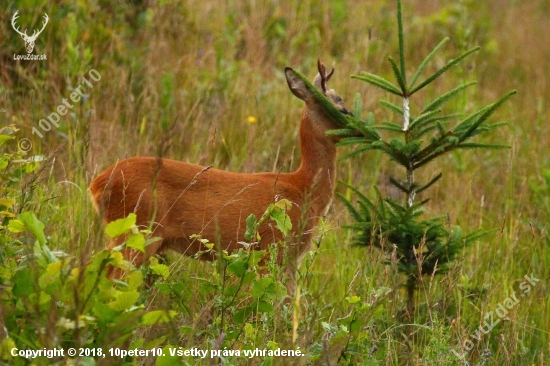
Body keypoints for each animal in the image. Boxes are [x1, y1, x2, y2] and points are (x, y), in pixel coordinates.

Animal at [88, 60, 352, 294]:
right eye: (340, 107)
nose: (357, 128)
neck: (303, 189)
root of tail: (96, 184)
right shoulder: (272, 246)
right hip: (136, 230)